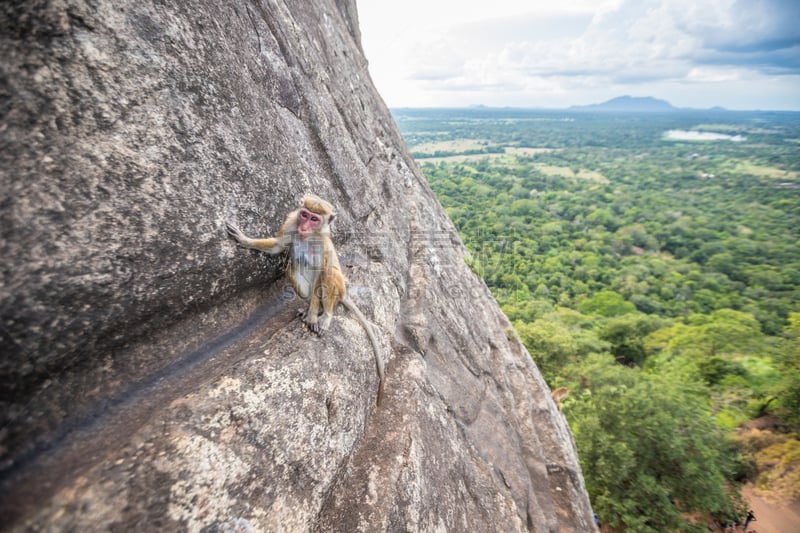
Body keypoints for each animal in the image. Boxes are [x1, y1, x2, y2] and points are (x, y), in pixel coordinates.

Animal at [227, 193, 386, 406]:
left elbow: (321, 272)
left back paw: (324, 315)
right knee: (292, 267)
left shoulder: (322, 242)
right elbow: (278, 246)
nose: (304, 227)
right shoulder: (290, 222)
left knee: (328, 274)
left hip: (339, 287)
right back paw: (310, 308)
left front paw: (313, 317)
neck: (309, 235)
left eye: (314, 219)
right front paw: (246, 240)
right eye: (304, 215)